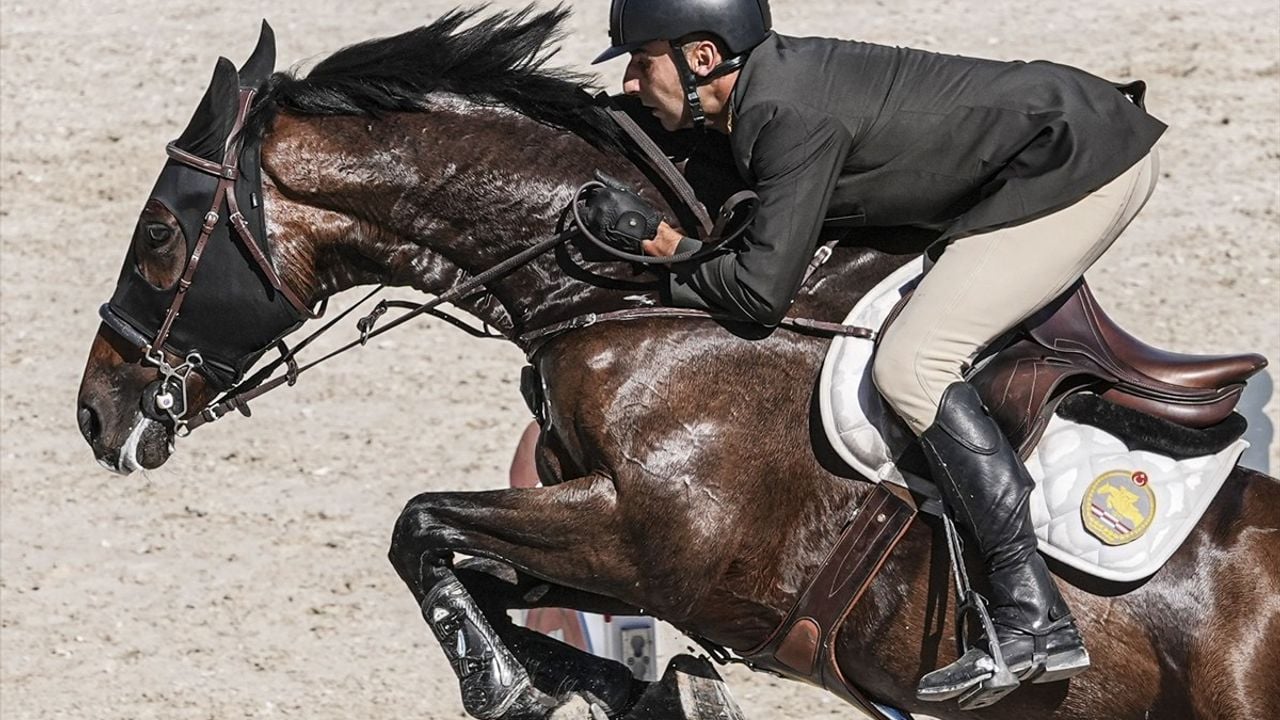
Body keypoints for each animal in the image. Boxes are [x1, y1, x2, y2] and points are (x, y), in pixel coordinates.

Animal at [77, 9, 1280, 717]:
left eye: (161, 236)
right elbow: (479, 571)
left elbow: (418, 524)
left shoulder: (656, 541)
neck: (632, 307)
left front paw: (510, 689)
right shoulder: (608, 542)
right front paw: (621, 690)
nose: (97, 414)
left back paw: (1020, 647)